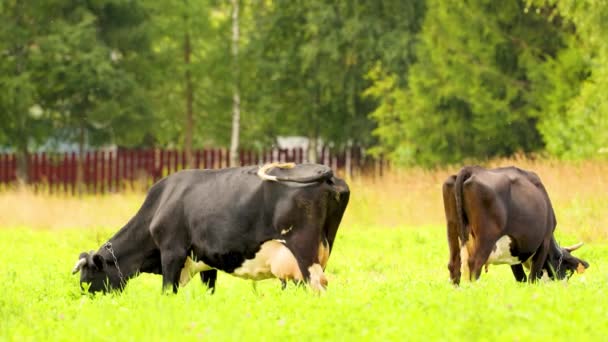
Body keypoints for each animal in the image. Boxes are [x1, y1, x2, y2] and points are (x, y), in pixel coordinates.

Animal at [72, 163, 350, 294]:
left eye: (86, 281)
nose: (84, 300)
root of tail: (326, 172)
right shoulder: (207, 262)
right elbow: (210, 292)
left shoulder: (172, 252)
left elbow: (167, 291)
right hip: (323, 248)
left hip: (304, 250)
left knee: (317, 286)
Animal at [442, 165, 588, 284]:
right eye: (567, 269)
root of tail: (472, 169)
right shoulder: (544, 242)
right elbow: (532, 278)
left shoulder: (514, 249)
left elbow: (520, 278)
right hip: (486, 237)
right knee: (474, 264)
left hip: (452, 228)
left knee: (454, 265)